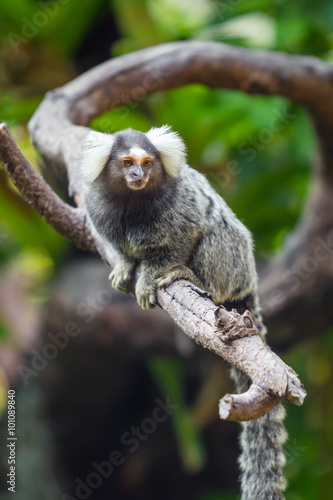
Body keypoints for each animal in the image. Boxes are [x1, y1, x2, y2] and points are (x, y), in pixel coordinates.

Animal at [80, 126, 286, 500]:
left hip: (232, 261)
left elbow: (180, 241)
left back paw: (192, 277)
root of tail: (249, 279)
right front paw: (125, 266)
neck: (132, 203)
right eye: (127, 162)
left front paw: (149, 278)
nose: (138, 174)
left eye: (148, 162)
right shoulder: (99, 212)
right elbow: (121, 248)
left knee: (215, 233)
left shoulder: (179, 213)